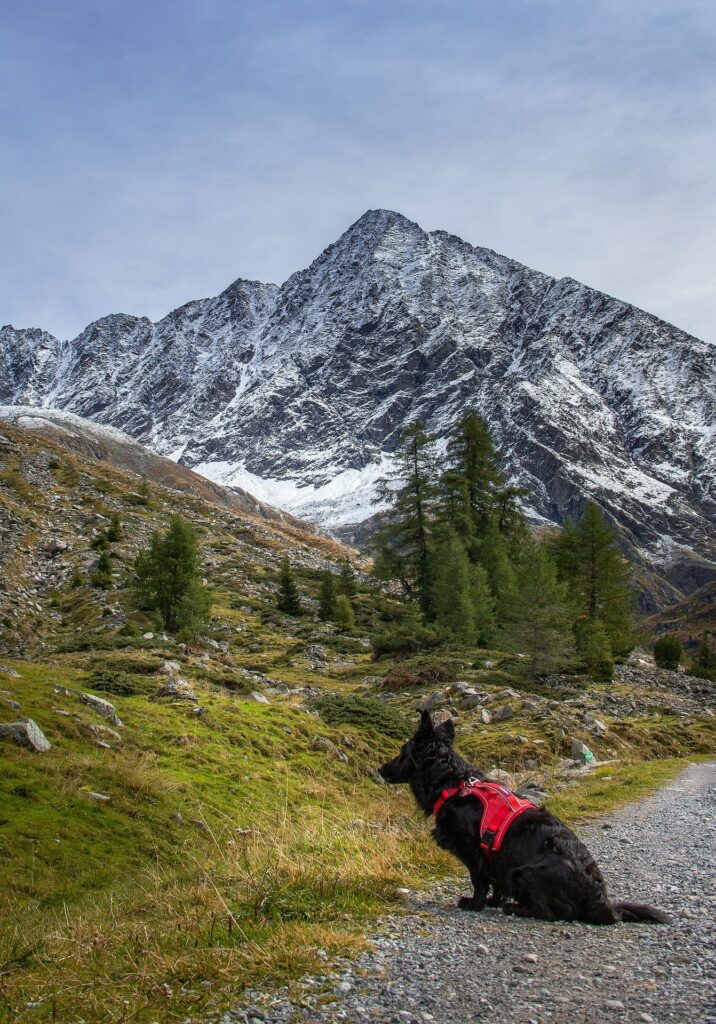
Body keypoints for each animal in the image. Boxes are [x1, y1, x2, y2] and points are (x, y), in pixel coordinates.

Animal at [381, 712, 671, 929]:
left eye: (402, 751)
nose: (380, 769)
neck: (454, 785)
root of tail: (604, 906)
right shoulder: (492, 858)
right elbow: (494, 883)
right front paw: (492, 901)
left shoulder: (473, 850)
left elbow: (478, 881)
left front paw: (475, 904)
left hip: (522, 873)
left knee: (549, 913)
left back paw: (515, 908)